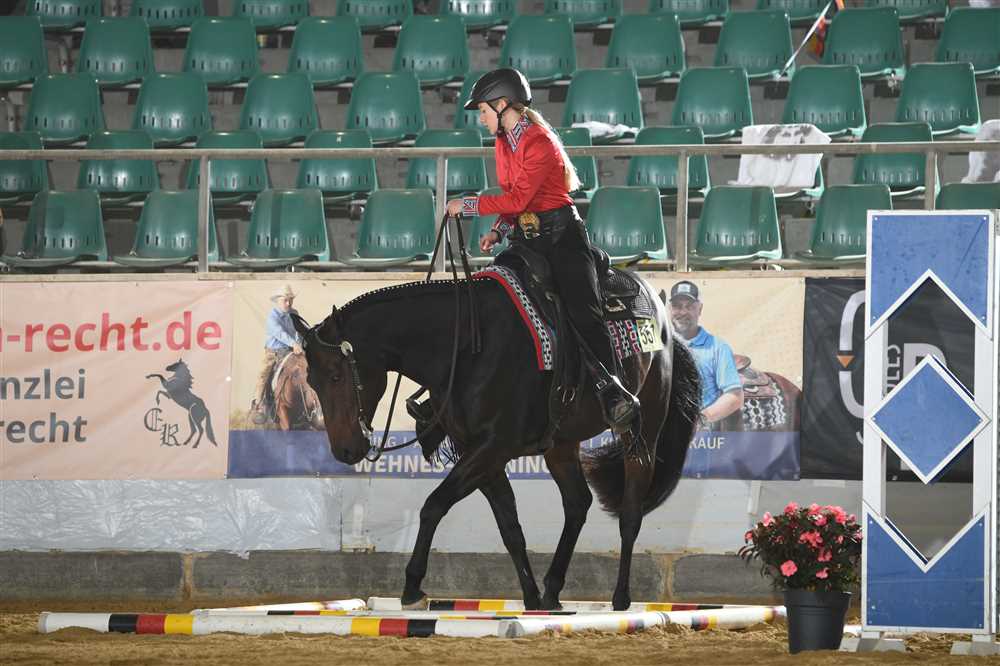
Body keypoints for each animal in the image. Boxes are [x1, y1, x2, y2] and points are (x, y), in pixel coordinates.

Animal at [291, 276, 701, 611]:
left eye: (337, 374)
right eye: (311, 379)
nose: (345, 450)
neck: (464, 346)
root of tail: (664, 320)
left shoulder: (493, 447)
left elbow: (434, 505)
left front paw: (412, 587)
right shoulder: (480, 453)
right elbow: (510, 528)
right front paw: (531, 598)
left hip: (643, 432)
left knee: (630, 512)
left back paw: (620, 598)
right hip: (560, 445)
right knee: (577, 503)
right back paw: (552, 591)